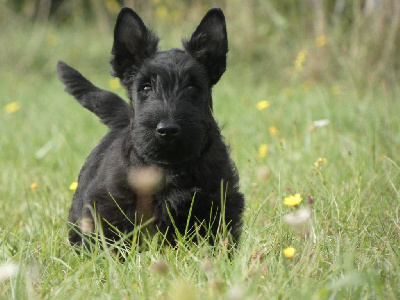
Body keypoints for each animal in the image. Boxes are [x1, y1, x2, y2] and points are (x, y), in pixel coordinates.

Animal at [56, 7, 244, 248]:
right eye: (146, 87)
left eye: (192, 86)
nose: (167, 130)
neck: (170, 166)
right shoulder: (111, 206)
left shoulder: (218, 200)